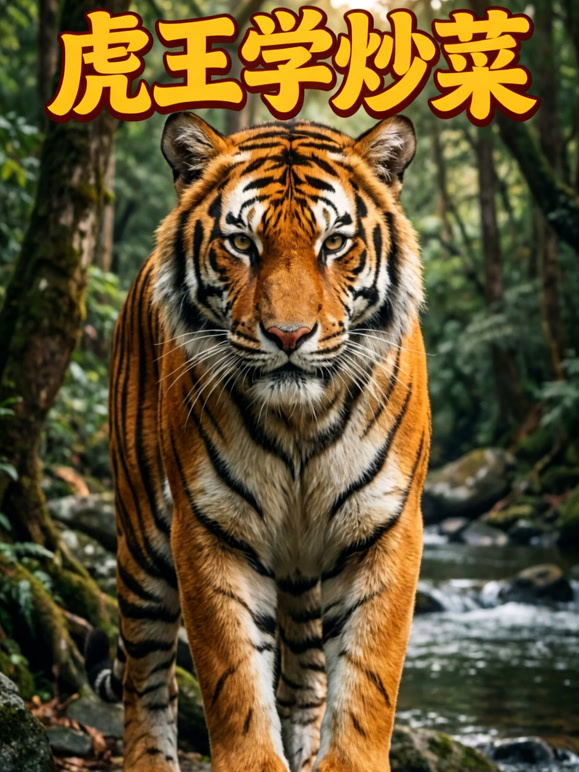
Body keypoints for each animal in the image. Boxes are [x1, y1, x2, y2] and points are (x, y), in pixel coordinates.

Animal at [86, 111, 431, 772]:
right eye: (242, 243)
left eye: (334, 244)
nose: (289, 335)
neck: (300, 422)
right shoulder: (209, 531)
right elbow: (235, 681)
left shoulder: (385, 527)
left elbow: (368, 679)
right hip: (141, 537)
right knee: (148, 680)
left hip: (301, 573)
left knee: (305, 680)